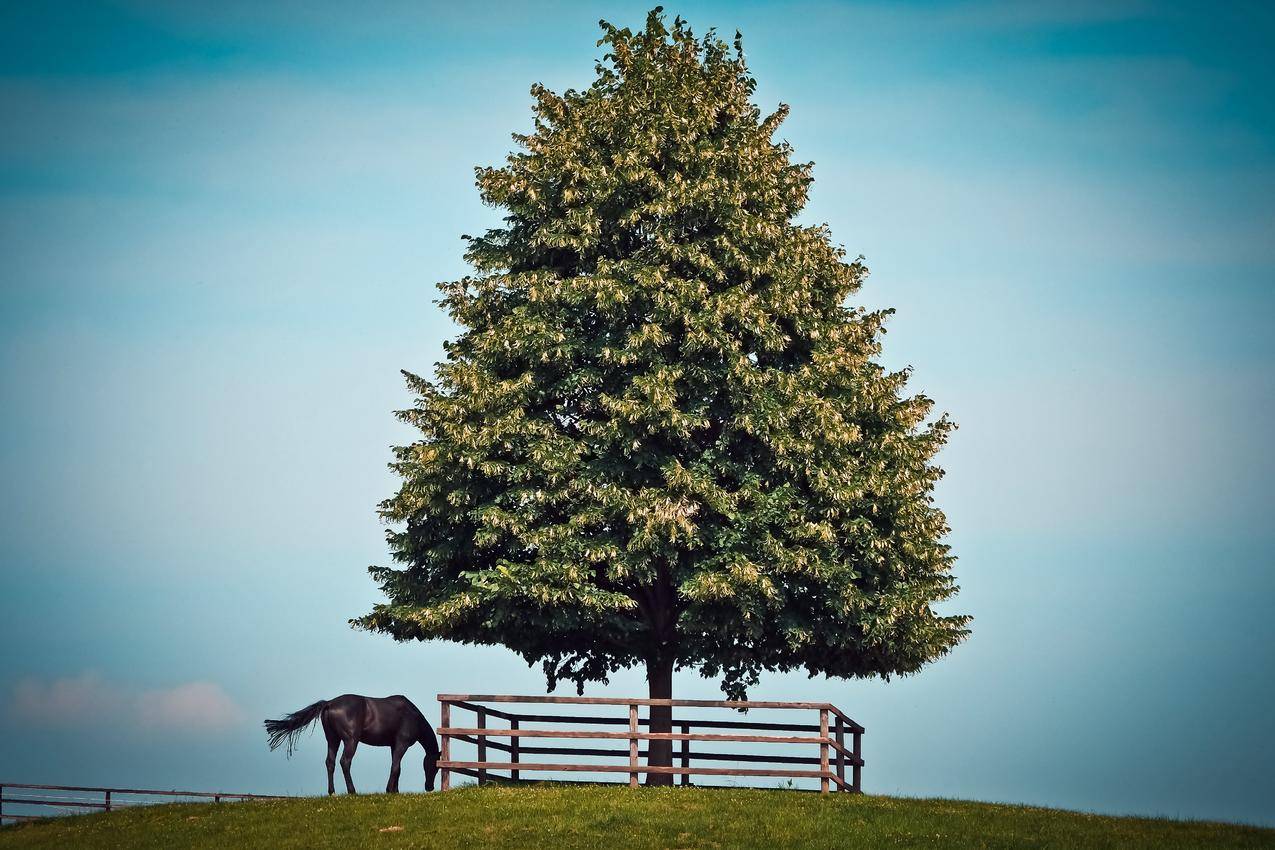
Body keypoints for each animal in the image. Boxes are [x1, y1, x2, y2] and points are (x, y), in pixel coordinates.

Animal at [262, 693, 438, 795]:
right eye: (435, 766)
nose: (429, 787)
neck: (412, 715)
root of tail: (329, 703)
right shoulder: (401, 744)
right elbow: (395, 767)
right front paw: (390, 790)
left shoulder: (394, 745)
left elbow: (397, 768)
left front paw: (396, 791)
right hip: (350, 741)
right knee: (345, 762)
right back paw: (352, 791)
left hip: (333, 740)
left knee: (330, 762)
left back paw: (331, 792)